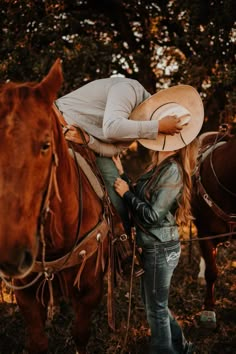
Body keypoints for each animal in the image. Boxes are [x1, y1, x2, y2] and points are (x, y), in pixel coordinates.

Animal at [0, 59, 114, 352]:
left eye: (45, 145)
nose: (10, 254)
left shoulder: (90, 292)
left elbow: (80, 334)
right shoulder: (27, 296)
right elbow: (38, 341)